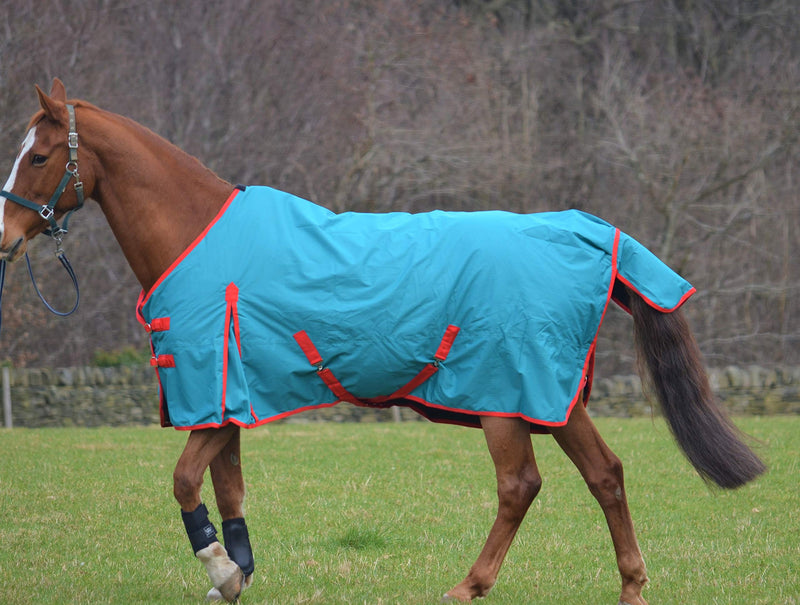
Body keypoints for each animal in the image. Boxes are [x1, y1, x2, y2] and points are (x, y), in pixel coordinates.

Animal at [0, 79, 764, 604]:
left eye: (38, 156)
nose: (5, 239)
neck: (198, 238)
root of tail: (585, 232)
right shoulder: (229, 400)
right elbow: (229, 488)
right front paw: (236, 572)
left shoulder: (212, 399)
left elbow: (187, 480)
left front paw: (222, 571)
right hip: (553, 393)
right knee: (606, 473)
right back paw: (631, 585)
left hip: (505, 397)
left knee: (520, 485)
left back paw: (468, 585)